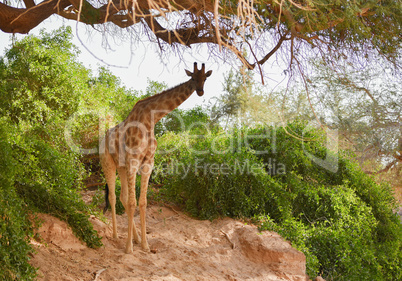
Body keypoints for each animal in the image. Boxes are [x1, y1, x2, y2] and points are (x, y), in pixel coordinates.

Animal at [99, 61, 210, 252]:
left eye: (205, 78)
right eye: (193, 77)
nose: (200, 91)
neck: (151, 119)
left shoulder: (147, 163)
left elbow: (142, 202)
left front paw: (145, 245)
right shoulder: (134, 161)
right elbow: (133, 203)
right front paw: (129, 249)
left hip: (122, 166)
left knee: (122, 197)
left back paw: (135, 238)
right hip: (108, 163)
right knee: (113, 197)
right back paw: (115, 235)